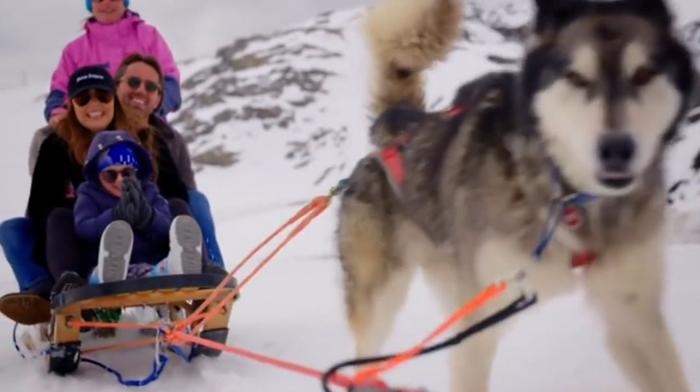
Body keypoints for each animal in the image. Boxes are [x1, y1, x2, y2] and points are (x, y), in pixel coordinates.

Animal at [338, 0, 696, 390]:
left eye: (644, 74)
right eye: (575, 77)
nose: (617, 149)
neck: (565, 199)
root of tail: (396, 130)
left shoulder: (633, 315)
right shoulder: (479, 326)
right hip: (383, 299)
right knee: (362, 361)